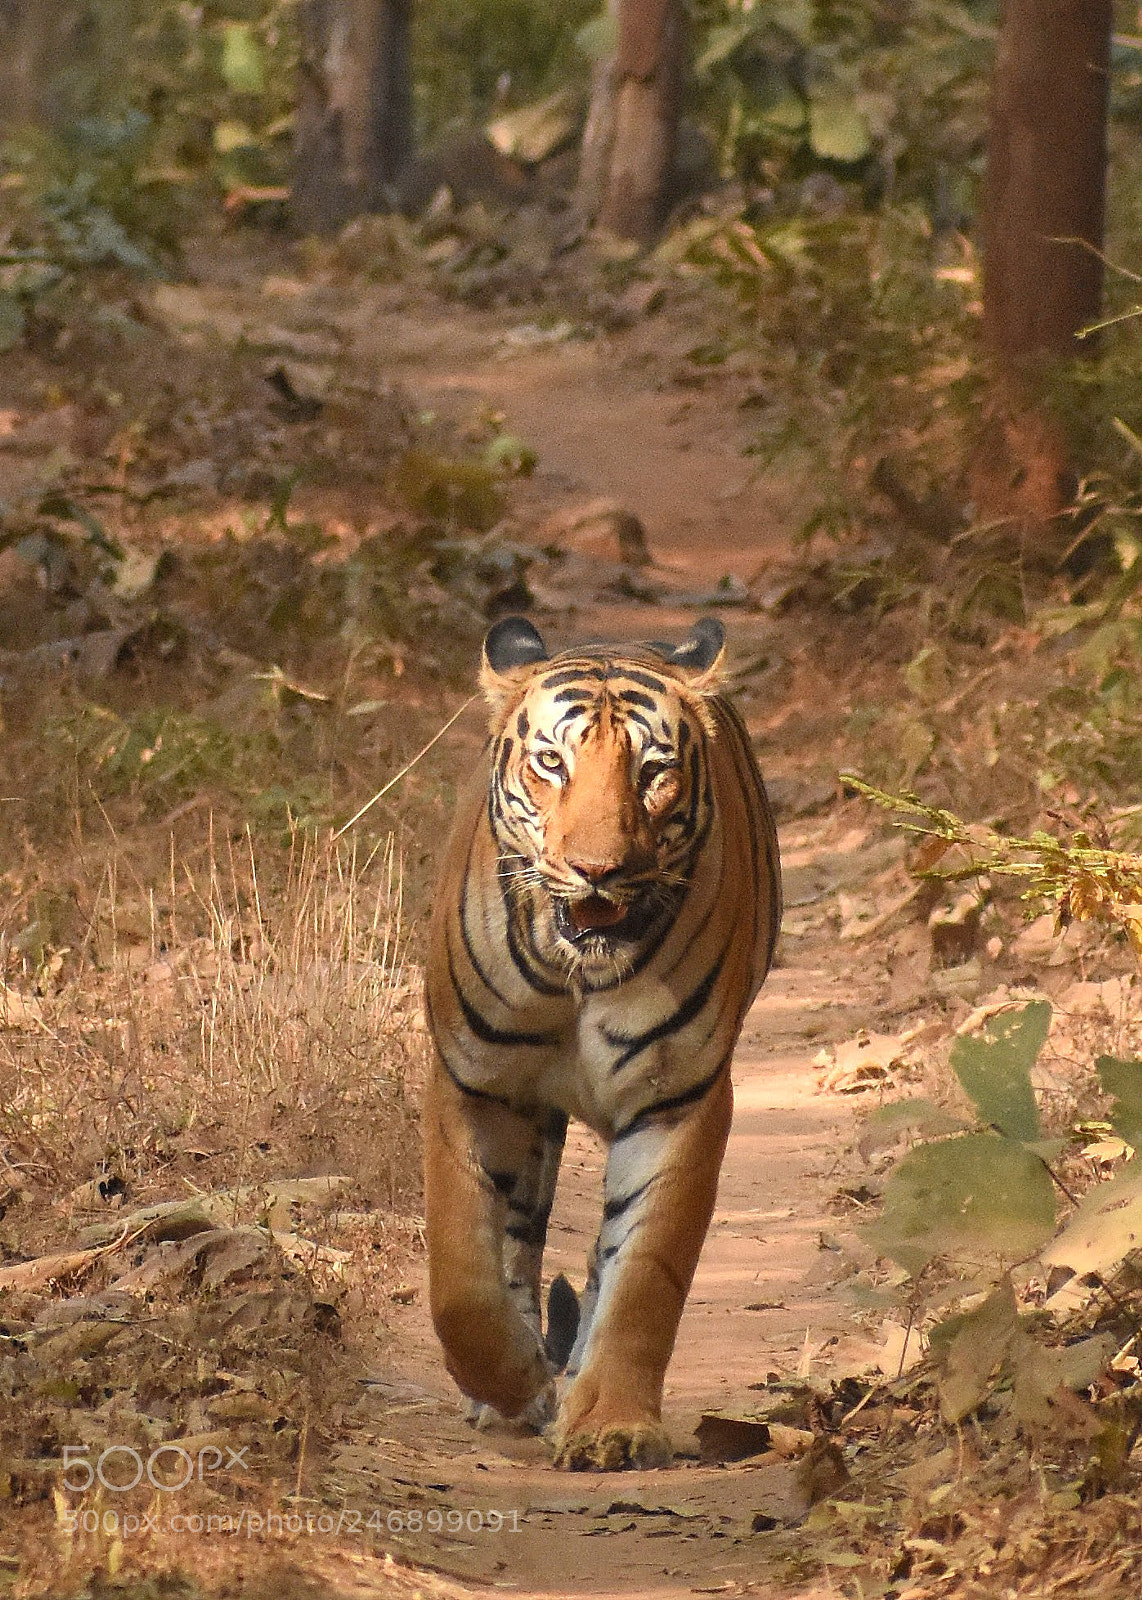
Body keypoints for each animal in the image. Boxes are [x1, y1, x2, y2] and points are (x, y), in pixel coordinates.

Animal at [423, 614, 781, 1471]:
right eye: (552, 762)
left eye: (654, 771)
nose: (598, 870)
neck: (577, 971)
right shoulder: (472, 1079)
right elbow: (461, 1276)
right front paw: (516, 1381)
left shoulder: (676, 1098)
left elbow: (644, 1272)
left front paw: (612, 1425)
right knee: (516, 1239)